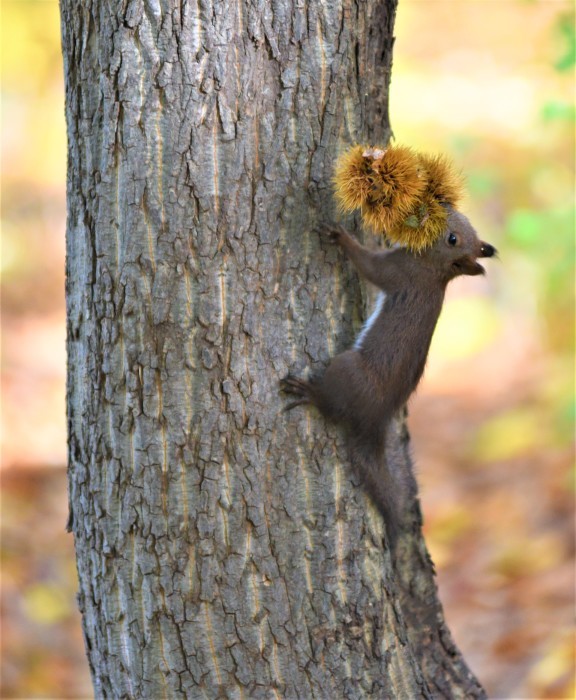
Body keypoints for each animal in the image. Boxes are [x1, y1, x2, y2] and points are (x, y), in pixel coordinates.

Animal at [282, 145, 498, 548]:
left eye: (452, 239)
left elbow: (368, 265)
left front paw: (341, 237)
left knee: (333, 407)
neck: (435, 271)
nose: (437, 203)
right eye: (456, 216)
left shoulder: (399, 272)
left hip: (347, 370)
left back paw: (309, 393)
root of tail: (375, 423)